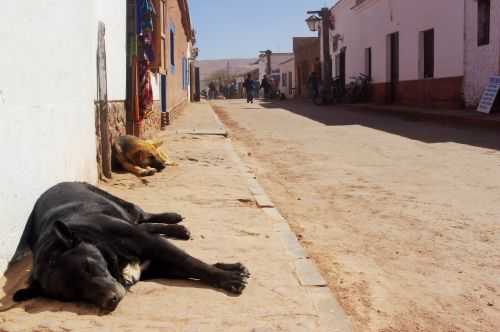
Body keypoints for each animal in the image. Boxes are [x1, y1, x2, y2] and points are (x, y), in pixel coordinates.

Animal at [9, 183, 248, 312]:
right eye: (73, 296)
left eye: (89, 267)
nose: (111, 301)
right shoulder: (155, 265)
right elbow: (188, 266)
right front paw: (230, 270)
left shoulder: (151, 244)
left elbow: (191, 262)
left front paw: (229, 277)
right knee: (146, 224)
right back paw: (178, 229)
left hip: (124, 206)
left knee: (144, 216)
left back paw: (174, 220)